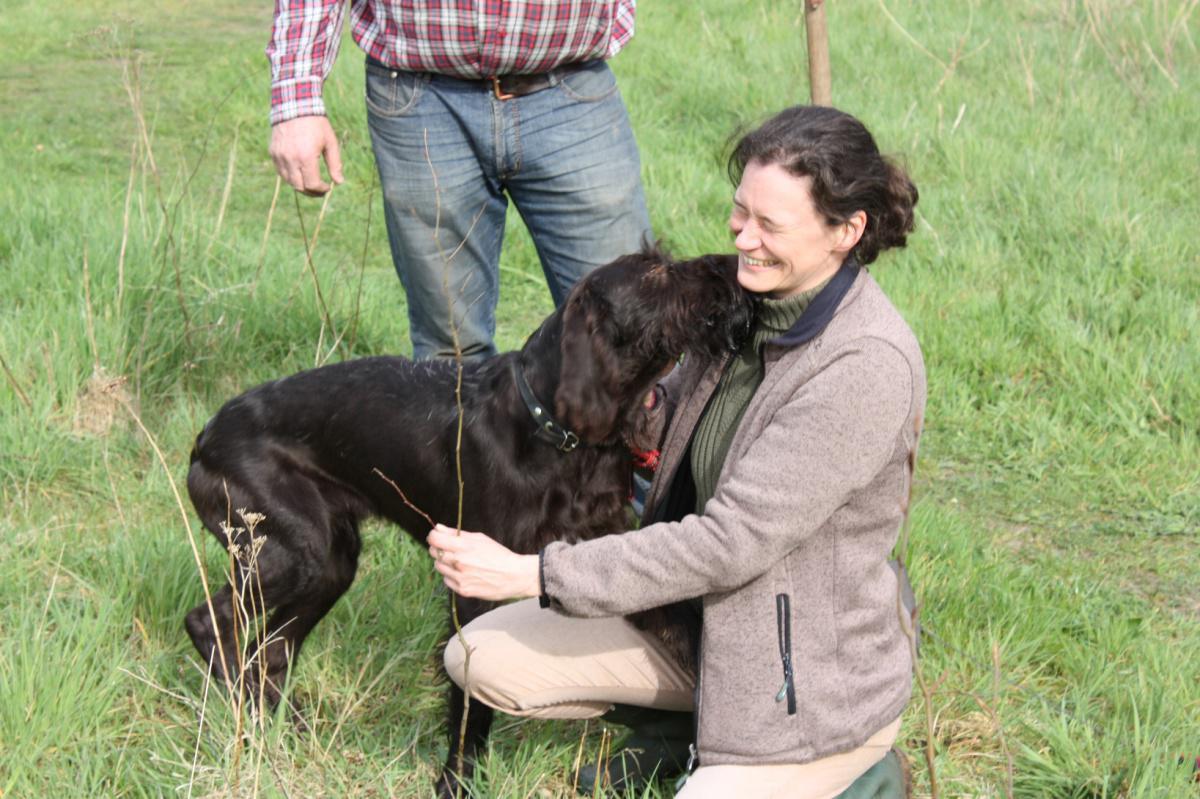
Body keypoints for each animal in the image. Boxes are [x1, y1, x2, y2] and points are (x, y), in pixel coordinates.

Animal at [182, 247, 748, 791]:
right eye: (655, 271)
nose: (730, 266)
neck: (556, 433)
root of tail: (204, 438)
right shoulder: (472, 582)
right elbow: (468, 695)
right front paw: (458, 778)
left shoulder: (605, 556)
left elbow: (674, 618)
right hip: (294, 553)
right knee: (211, 624)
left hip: (329, 564)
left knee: (271, 653)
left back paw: (287, 730)